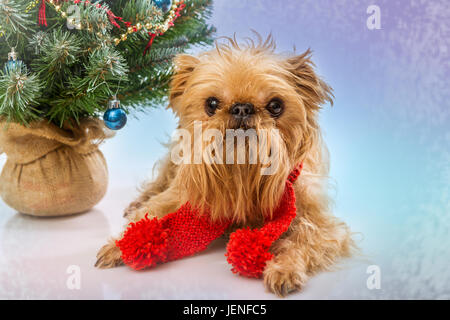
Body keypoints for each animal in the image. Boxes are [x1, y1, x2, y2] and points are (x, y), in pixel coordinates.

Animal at [96, 35, 356, 298]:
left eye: (275, 106)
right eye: (211, 104)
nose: (242, 107)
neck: (241, 177)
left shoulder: (319, 222)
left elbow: (303, 239)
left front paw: (285, 268)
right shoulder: (180, 195)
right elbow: (150, 213)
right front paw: (120, 245)